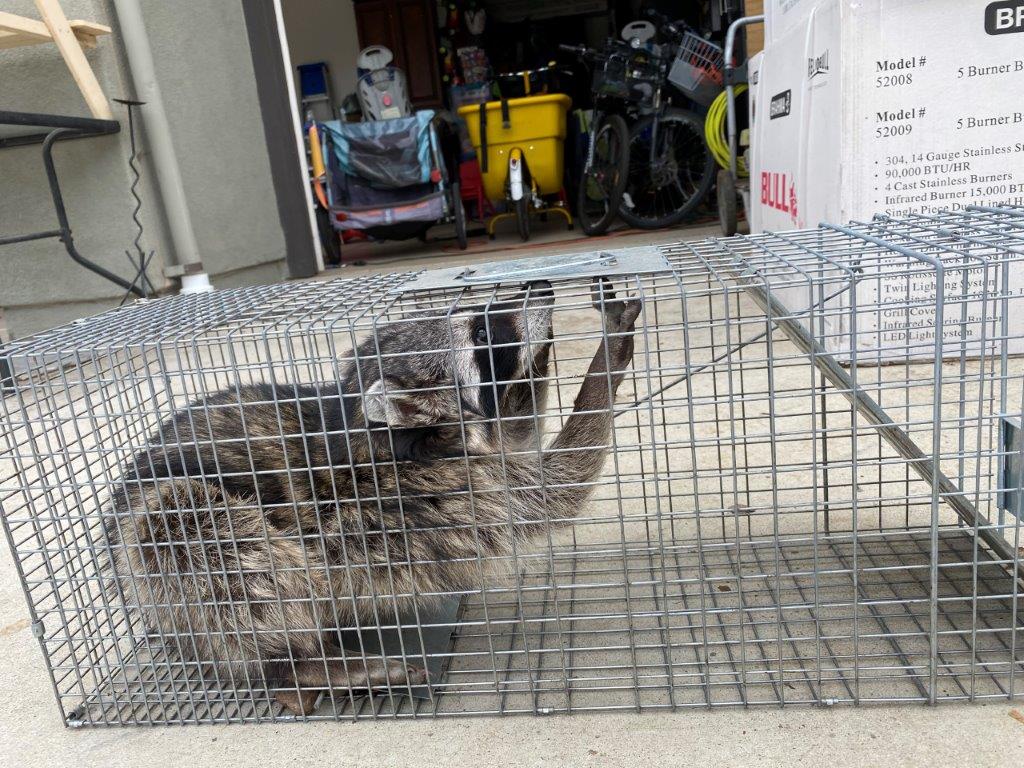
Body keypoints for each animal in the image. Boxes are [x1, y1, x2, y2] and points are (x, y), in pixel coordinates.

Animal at [105, 278, 641, 714]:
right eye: (483, 336)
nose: (541, 287)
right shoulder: (433, 494)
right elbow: (556, 487)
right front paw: (605, 362)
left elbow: (518, 433)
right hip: (168, 559)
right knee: (195, 539)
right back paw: (296, 662)